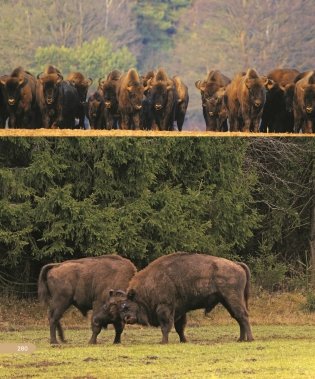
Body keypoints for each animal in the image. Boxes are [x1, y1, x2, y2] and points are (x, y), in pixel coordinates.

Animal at [107, 252, 254, 344]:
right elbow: (179, 327)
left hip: (232, 298)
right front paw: (184, 340)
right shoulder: (179, 310)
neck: (151, 283)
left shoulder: (165, 308)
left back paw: (250, 339)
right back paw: (240, 339)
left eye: (126, 306)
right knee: (238, 317)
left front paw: (163, 342)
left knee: (243, 316)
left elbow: (166, 326)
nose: (127, 319)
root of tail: (237, 265)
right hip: (226, 301)